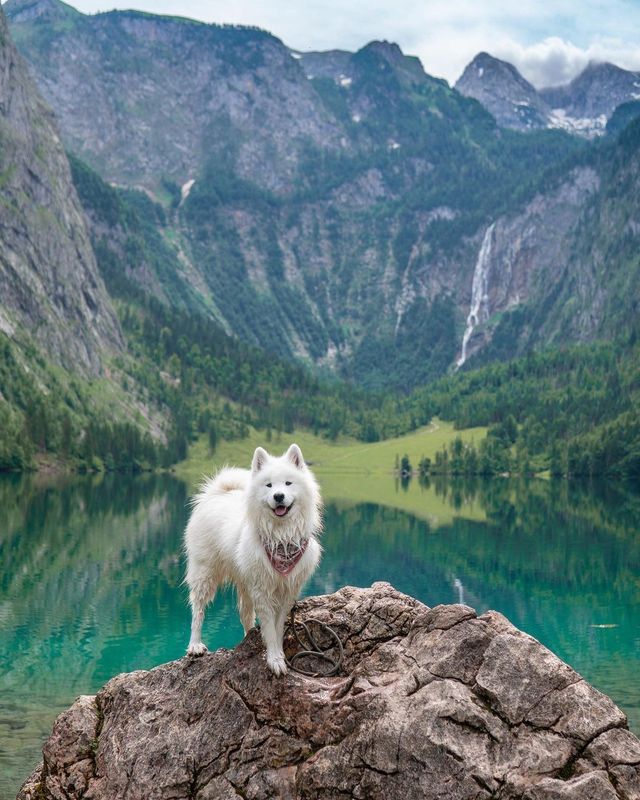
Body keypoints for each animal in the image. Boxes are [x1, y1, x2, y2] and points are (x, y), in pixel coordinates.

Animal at [185, 444, 324, 676]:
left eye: (288, 483)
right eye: (269, 485)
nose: (278, 496)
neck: (281, 537)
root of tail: (219, 492)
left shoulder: (286, 590)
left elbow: (277, 627)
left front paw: (278, 654)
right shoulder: (262, 589)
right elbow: (269, 627)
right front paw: (274, 659)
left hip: (245, 580)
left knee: (245, 614)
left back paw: (249, 636)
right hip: (205, 573)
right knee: (198, 609)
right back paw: (195, 645)